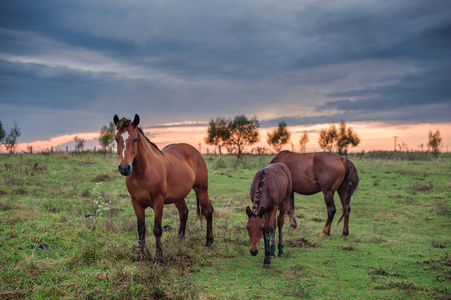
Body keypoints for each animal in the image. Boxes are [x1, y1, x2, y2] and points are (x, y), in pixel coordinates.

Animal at [112, 115, 213, 260]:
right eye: (116, 138)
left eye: (135, 139)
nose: (125, 168)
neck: (142, 173)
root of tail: (195, 151)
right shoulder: (136, 203)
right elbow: (141, 229)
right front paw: (140, 257)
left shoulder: (158, 202)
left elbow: (157, 229)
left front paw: (158, 258)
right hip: (178, 196)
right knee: (184, 213)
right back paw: (179, 240)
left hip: (202, 189)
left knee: (208, 212)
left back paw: (208, 242)